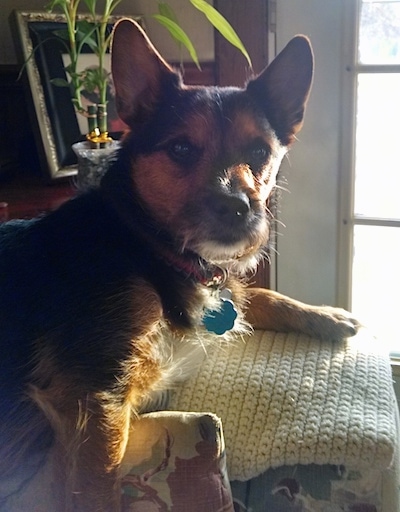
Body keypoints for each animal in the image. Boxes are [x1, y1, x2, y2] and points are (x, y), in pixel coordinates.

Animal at [0, 20, 360, 512]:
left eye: (259, 151)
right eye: (182, 148)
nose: (237, 207)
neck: (145, 243)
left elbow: (260, 294)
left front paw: (325, 315)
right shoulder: (95, 400)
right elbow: (98, 487)